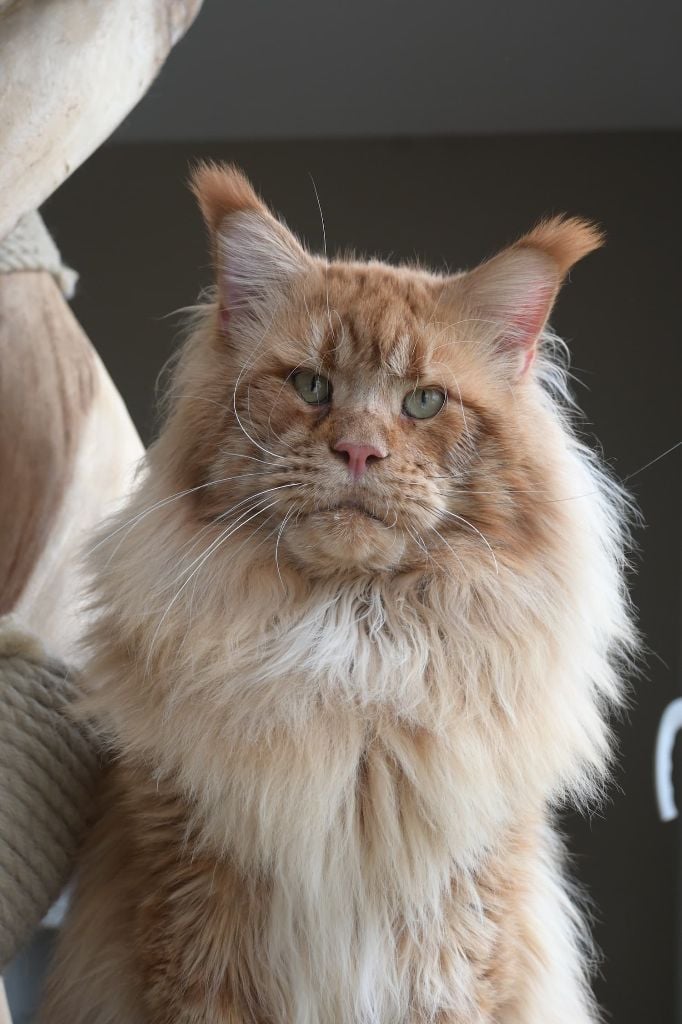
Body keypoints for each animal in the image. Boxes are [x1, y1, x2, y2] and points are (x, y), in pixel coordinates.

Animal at [39, 163, 634, 1019]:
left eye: (424, 401)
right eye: (311, 385)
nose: (358, 450)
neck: (352, 652)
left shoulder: (456, 950)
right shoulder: (194, 926)